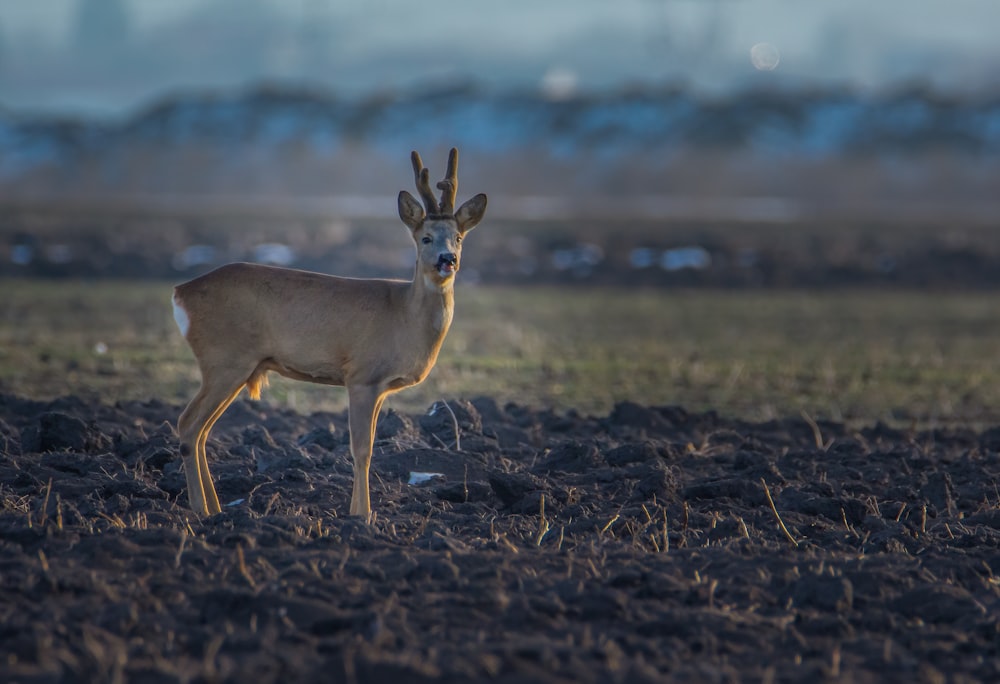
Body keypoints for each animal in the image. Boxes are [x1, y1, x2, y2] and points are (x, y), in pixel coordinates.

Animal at [171, 150, 488, 520]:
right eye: (425, 237)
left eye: (458, 238)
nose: (447, 259)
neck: (404, 316)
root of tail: (181, 293)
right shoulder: (362, 375)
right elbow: (362, 449)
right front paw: (362, 516)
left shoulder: (380, 387)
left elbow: (369, 446)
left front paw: (357, 511)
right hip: (224, 360)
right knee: (189, 424)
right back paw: (201, 510)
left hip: (235, 368)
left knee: (202, 430)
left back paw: (216, 508)